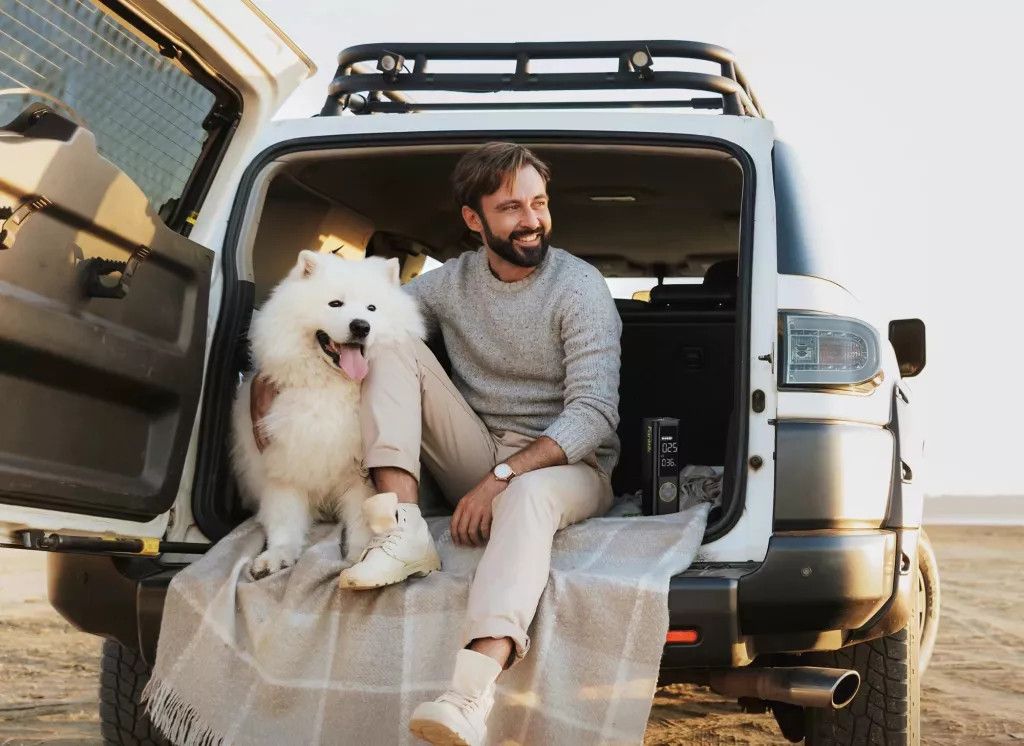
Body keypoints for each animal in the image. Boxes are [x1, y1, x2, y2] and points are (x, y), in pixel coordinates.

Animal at [231, 250, 423, 577]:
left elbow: (364, 522)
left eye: (372, 308)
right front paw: (278, 556)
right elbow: (285, 520)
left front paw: (358, 557)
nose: (361, 326)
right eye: (335, 304)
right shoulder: (284, 467)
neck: (333, 387)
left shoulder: (361, 480)